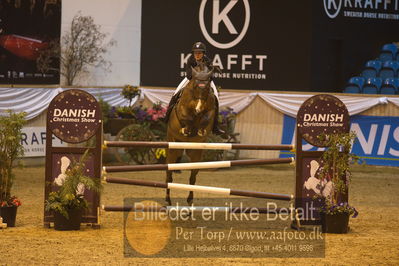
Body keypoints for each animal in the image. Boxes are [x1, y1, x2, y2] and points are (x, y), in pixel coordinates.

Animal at [165, 63, 217, 205]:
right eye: (195, 86)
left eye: (207, 88)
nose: (198, 109)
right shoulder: (182, 108)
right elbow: (185, 116)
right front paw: (186, 129)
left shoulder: (210, 109)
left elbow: (206, 117)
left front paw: (200, 129)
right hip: (172, 149)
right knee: (169, 175)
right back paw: (167, 200)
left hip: (195, 153)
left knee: (192, 177)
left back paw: (189, 200)